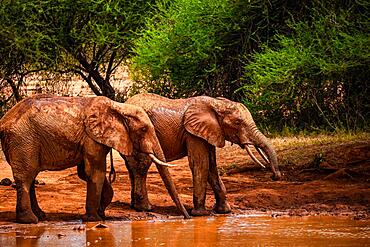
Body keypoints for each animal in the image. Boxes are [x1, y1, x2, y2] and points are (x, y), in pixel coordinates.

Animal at [0, 93, 189, 224]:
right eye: (143, 129)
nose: (187, 218)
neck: (118, 107)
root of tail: (4, 121)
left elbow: (86, 173)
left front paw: (101, 213)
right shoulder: (92, 138)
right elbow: (95, 172)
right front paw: (94, 218)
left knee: (31, 177)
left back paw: (41, 216)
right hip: (23, 140)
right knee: (26, 177)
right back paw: (30, 220)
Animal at [123, 93, 282, 215]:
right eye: (237, 122)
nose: (275, 176)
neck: (216, 104)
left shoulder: (211, 131)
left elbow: (212, 166)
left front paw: (224, 211)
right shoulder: (193, 133)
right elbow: (201, 164)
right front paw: (201, 214)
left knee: (133, 167)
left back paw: (134, 206)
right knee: (142, 165)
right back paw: (145, 208)